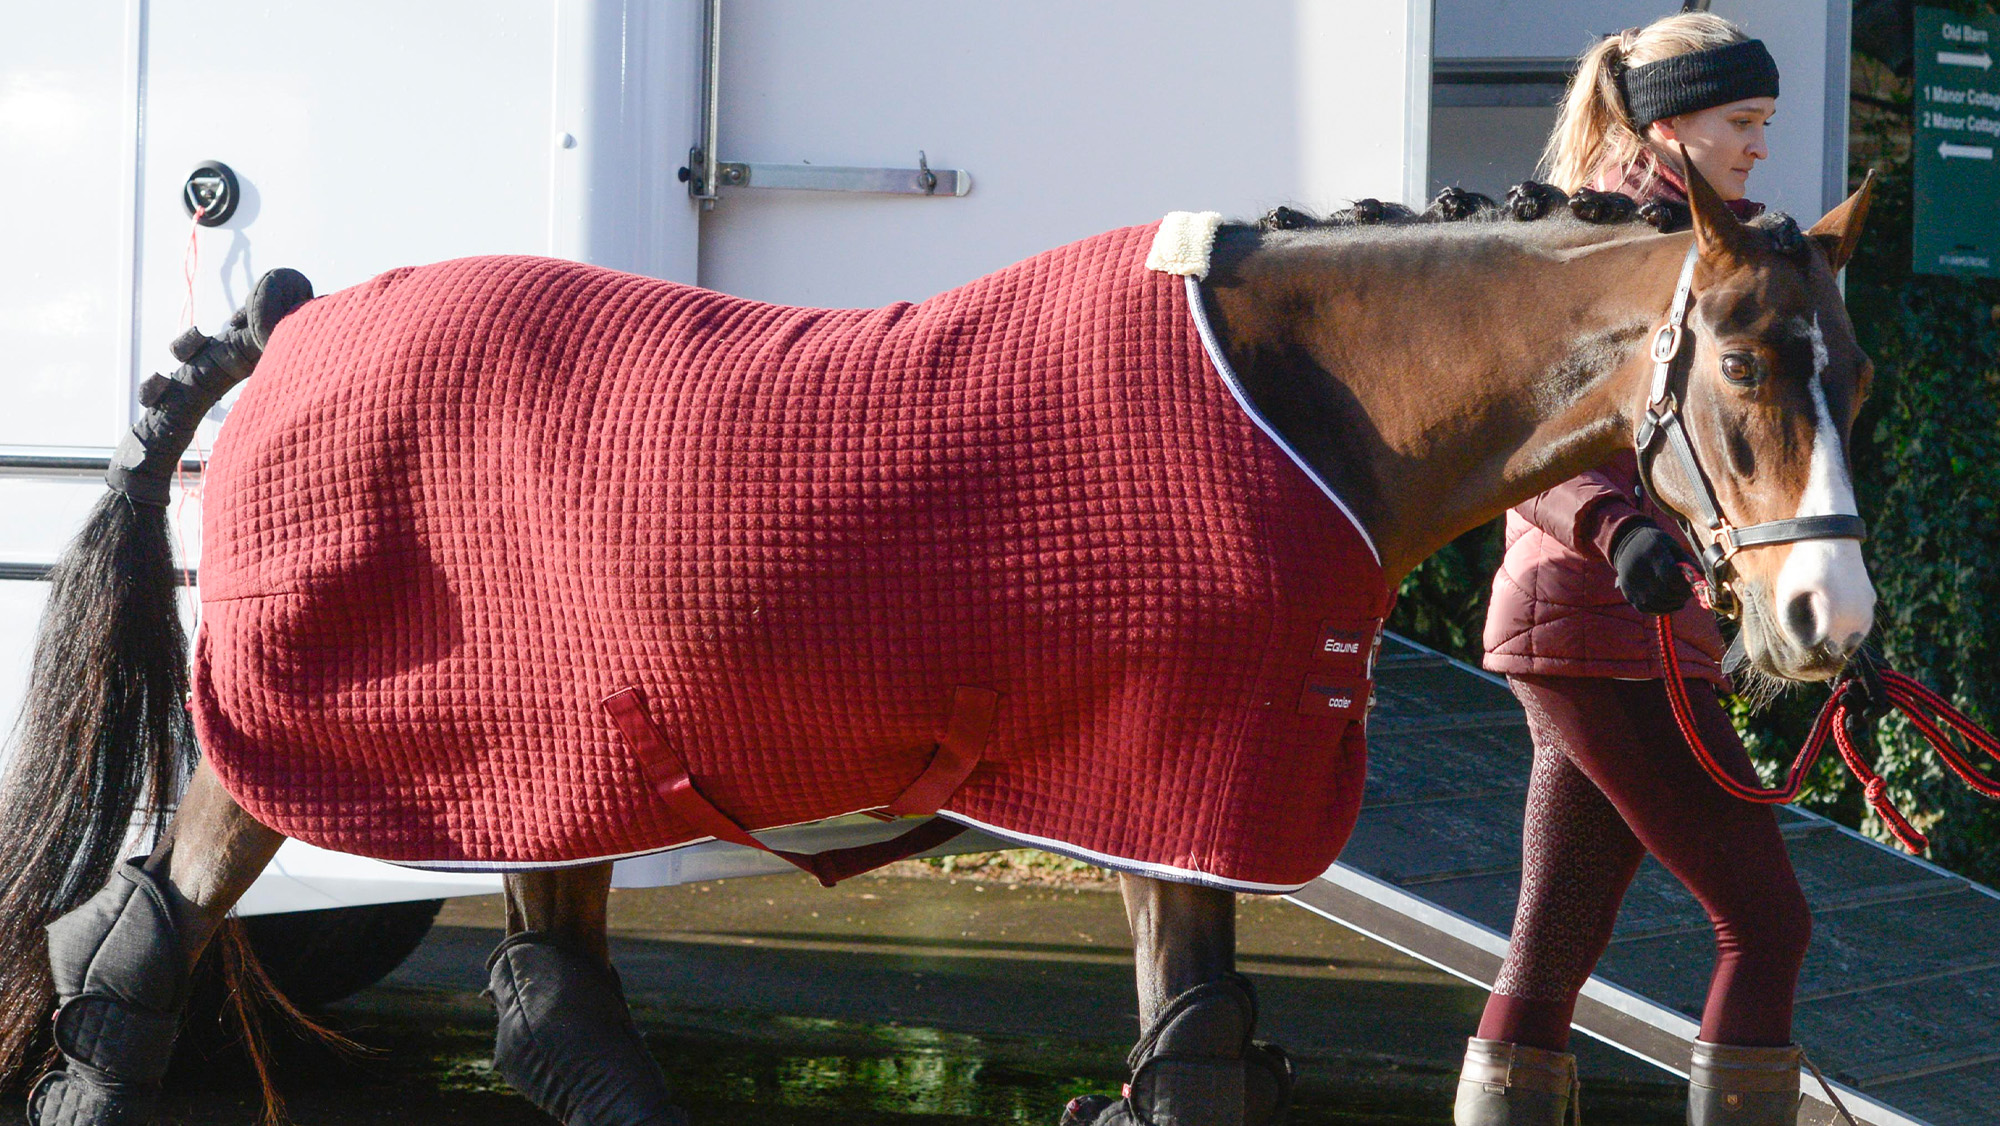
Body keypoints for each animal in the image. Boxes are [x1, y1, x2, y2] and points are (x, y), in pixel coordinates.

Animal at [0, 156, 1875, 1126]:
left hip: (553, 760)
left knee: (555, 1014)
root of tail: (296, 328)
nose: (1830, 618)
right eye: (1744, 366)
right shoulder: (1171, 790)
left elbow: (1197, 1057)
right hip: (299, 753)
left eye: (1849, 367)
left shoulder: (1188, 804)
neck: (1296, 408)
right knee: (138, 952)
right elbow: (1196, 1067)